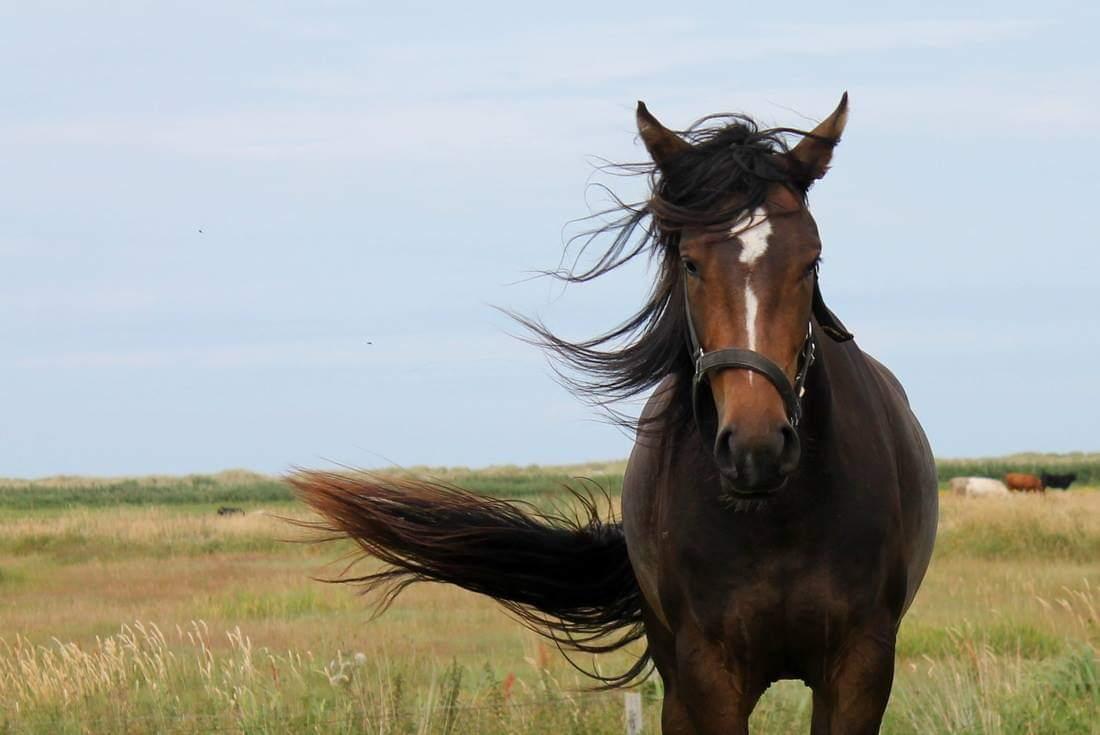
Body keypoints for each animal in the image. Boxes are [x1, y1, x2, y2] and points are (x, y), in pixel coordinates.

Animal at [292, 93, 937, 735]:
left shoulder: (859, 670)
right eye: (691, 263)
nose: (756, 448)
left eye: (811, 260)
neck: (780, 524)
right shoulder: (708, 674)